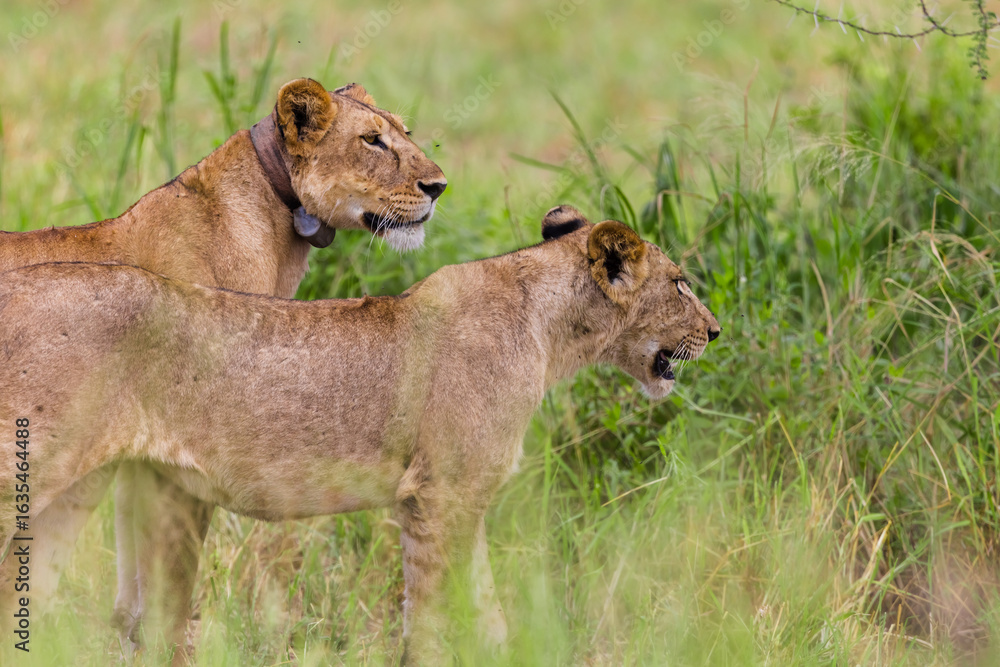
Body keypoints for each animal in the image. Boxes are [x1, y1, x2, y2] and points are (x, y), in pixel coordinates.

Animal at [0, 77, 446, 653]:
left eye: (405, 133)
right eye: (372, 140)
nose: (438, 186)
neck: (275, 227)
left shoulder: (138, 448)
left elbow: (131, 566)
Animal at [0, 206, 719, 662]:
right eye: (681, 283)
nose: (714, 331)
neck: (551, 332)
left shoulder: (454, 496)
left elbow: (483, 605)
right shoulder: (441, 494)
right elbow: (432, 612)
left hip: (81, 487)